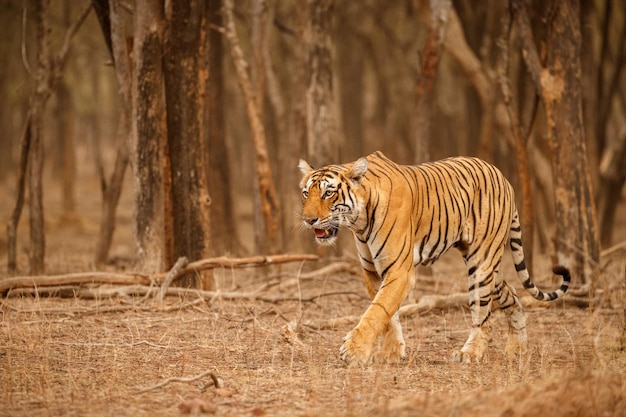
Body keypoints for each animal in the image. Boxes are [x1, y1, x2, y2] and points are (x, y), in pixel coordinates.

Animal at [298, 150, 572, 364]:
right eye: (306, 193)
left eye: (329, 193)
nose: (308, 220)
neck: (359, 221)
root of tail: (504, 178)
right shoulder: (373, 271)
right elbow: (388, 314)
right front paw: (391, 353)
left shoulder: (400, 270)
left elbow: (377, 310)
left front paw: (354, 350)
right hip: (489, 265)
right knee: (512, 295)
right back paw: (518, 349)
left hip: (482, 262)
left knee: (483, 314)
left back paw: (470, 353)